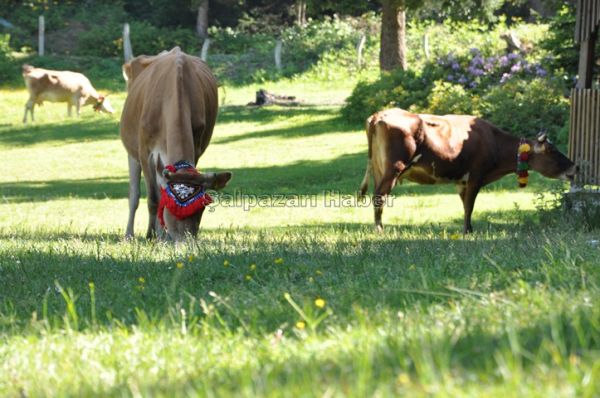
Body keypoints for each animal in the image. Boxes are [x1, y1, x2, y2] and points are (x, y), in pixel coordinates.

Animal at [120, 46, 232, 239]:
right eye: (171, 207)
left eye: (202, 207)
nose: (185, 241)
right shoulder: (145, 151)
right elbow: (153, 199)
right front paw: (152, 235)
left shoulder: (196, 146)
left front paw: (161, 237)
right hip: (132, 150)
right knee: (134, 194)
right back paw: (130, 235)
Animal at [358, 108, 580, 233]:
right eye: (552, 151)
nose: (575, 166)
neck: (494, 142)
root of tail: (380, 114)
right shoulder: (475, 177)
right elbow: (469, 206)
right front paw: (468, 231)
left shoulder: (462, 181)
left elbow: (465, 205)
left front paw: (468, 229)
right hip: (394, 169)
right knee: (379, 196)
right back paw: (379, 229)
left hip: (378, 169)